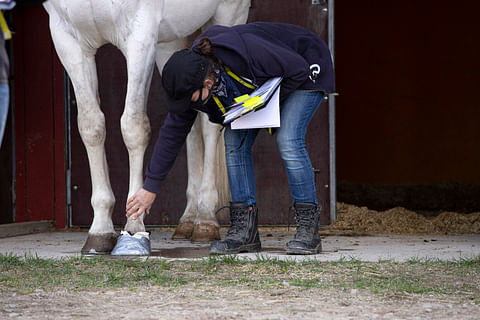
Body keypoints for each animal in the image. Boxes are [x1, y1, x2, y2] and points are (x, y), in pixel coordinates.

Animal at [43, 0, 251, 254]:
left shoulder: (139, 36)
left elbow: (133, 126)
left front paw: (134, 225)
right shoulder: (68, 40)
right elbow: (91, 126)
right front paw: (100, 231)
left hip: (228, 15)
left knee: (209, 124)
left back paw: (205, 220)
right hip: (169, 42)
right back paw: (188, 221)